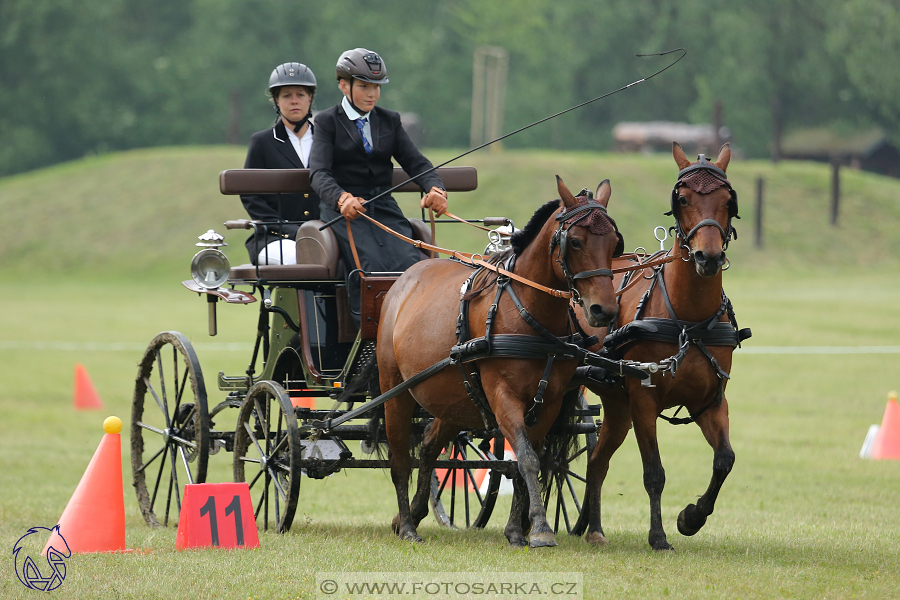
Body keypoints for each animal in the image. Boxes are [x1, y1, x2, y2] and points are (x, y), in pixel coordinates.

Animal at [376, 176, 624, 548]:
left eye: (614, 244)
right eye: (576, 241)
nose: (603, 311)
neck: (529, 313)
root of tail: (404, 279)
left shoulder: (549, 402)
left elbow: (529, 459)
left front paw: (517, 530)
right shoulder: (503, 395)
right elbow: (527, 458)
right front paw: (539, 528)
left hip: (455, 396)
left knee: (431, 446)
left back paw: (415, 513)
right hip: (397, 393)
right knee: (401, 460)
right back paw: (406, 525)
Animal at [572, 143, 748, 552]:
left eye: (727, 200)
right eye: (682, 199)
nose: (707, 257)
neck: (688, 321)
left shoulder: (710, 400)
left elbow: (725, 459)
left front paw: (691, 517)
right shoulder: (643, 400)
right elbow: (654, 472)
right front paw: (658, 536)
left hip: (616, 406)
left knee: (597, 461)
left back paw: (594, 528)